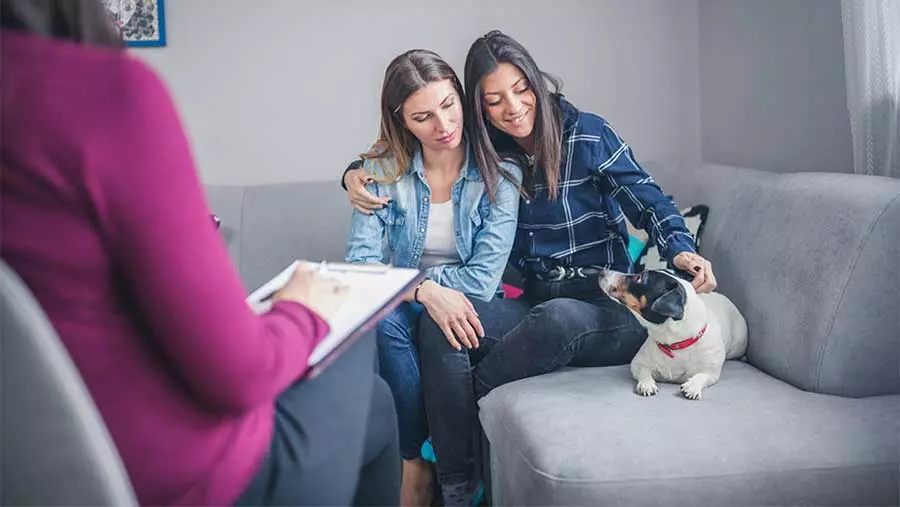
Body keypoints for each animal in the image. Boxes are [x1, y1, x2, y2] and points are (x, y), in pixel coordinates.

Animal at [600, 270, 748, 400]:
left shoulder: (712, 372)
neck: (673, 343)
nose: (601, 272)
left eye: (639, 278)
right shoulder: (637, 363)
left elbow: (702, 376)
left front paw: (692, 386)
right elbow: (643, 372)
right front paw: (647, 384)